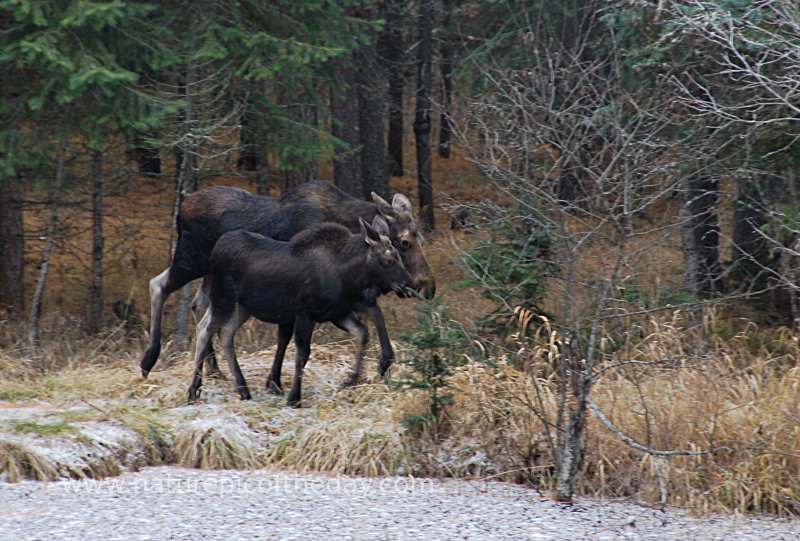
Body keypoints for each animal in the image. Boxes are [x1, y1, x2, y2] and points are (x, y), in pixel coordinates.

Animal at [139, 181, 438, 384]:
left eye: (421, 238)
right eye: (404, 242)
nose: (425, 286)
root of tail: (182, 208)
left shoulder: (345, 295)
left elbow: (374, 314)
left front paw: (384, 362)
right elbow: (287, 338)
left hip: (211, 274)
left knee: (198, 305)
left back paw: (213, 368)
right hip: (190, 259)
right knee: (158, 284)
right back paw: (149, 358)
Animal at [189, 215, 412, 404]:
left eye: (400, 257)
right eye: (389, 260)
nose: (408, 285)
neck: (347, 275)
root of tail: (215, 250)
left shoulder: (337, 312)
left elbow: (363, 331)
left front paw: (353, 378)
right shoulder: (306, 312)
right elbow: (303, 353)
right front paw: (294, 397)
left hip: (242, 307)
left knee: (224, 332)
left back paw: (242, 389)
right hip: (223, 299)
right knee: (205, 330)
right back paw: (194, 391)